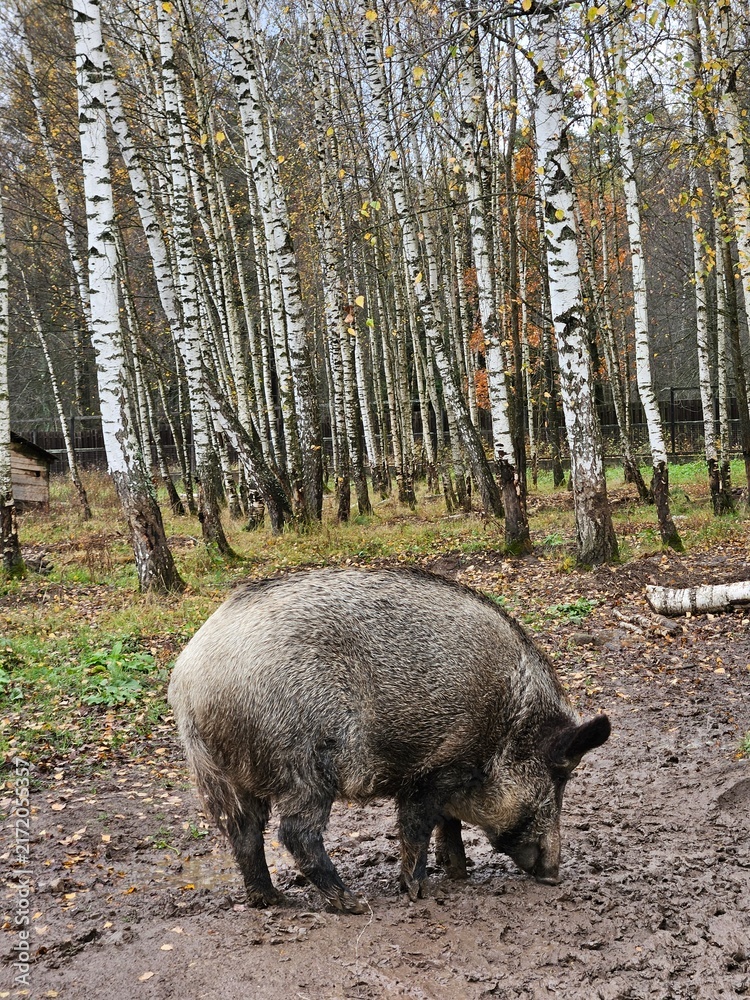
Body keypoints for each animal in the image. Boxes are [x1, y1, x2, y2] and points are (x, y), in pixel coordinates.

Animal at [168, 567, 610, 914]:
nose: (554, 876)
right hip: (302, 765)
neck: (507, 721)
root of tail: (189, 677)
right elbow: (418, 825)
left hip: (226, 775)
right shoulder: (434, 767)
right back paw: (352, 903)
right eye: (558, 778)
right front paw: (418, 891)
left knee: (243, 833)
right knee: (294, 833)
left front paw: (458, 874)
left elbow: (447, 824)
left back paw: (271, 901)